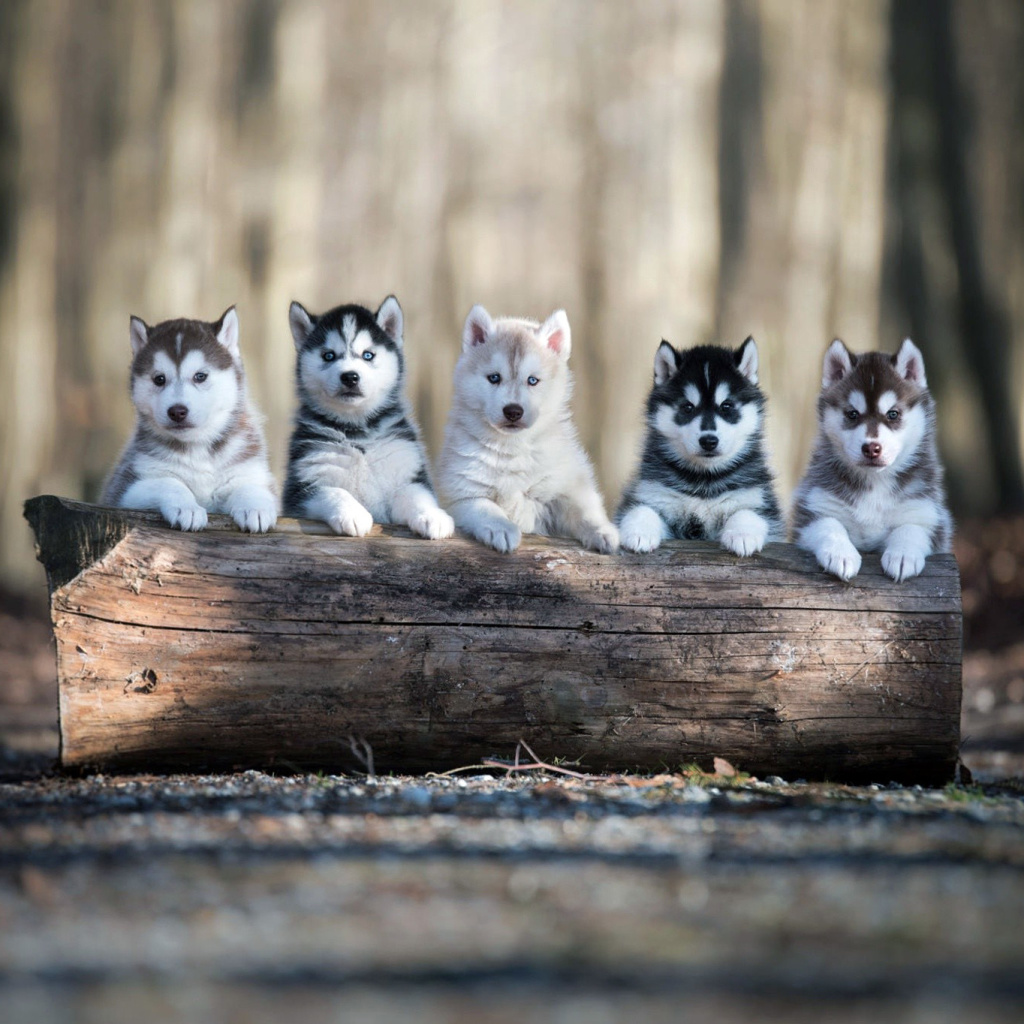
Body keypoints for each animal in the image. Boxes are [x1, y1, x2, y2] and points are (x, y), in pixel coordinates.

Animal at [101, 309, 278, 536]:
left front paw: (254, 507)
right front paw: (187, 508)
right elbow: (169, 482)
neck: (198, 447)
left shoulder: (250, 470)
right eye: (159, 379)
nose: (177, 411)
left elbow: (249, 486)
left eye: (200, 376)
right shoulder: (126, 489)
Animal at [282, 294, 454, 540]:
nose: (350, 377)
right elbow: (333, 491)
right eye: (328, 355)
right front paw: (352, 513)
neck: (357, 432)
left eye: (368, 355)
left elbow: (416, 494)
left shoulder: (407, 472)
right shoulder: (302, 486)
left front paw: (432, 516)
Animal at [438, 305, 618, 552]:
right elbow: (485, 508)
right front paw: (502, 528)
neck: (511, 447)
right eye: (494, 378)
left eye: (532, 380)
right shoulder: (461, 494)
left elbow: (583, 511)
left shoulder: (567, 485)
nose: (513, 411)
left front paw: (603, 530)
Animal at [614, 337, 782, 557]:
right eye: (688, 407)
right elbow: (642, 509)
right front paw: (639, 531)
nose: (709, 441)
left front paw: (743, 534)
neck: (704, 479)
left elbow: (748, 512)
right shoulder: (654, 494)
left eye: (726, 406)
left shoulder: (759, 500)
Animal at [790, 337, 950, 585]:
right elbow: (829, 524)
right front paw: (841, 553)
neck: (876, 482)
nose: (871, 448)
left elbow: (911, 528)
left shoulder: (927, 513)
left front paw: (903, 555)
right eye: (852, 414)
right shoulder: (814, 507)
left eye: (893, 414)